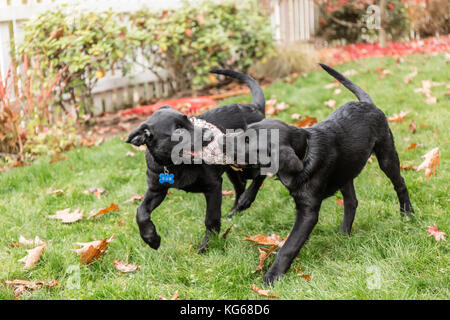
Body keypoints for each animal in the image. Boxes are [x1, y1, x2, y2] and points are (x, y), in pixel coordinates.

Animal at [125, 69, 268, 252]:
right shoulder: (157, 189)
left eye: (189, 119)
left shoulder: (213, 186)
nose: (211, 136)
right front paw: (151, 239)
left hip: (247, 160)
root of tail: (253, 107)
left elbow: (211, 218)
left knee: (261, 173)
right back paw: (234, 211)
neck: (175, 166)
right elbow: (141, 212)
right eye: (178, 130)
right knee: (241, 185)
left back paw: (246, 200)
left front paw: (207, 246)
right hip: (232, 167)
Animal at [234, 63, 414, 284]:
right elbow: (261, 173)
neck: (305, 150)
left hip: (386, 154)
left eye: (248, 141)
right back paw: (344, 233)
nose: (221, 140)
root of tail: (367, 103)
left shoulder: (308, 212)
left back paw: (407, 214)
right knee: (351, 201)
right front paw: (244, 199)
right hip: (346, 170)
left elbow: (288, 247)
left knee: (400, 183)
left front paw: (272, 276)